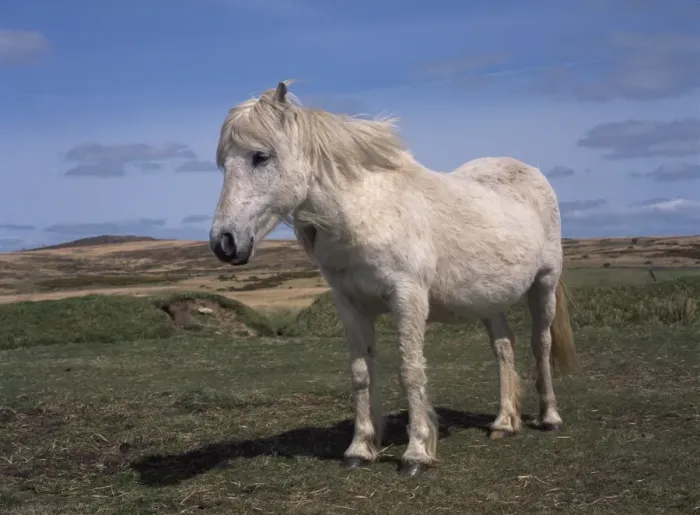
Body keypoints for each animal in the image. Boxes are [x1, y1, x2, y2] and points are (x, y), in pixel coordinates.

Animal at [209, 81, 577, 478]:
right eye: (224, 163)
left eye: (260, 156)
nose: (223, 243)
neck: (366, 213)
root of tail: (529, 172)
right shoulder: (350, 305)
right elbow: (361, 373)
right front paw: (360, 448)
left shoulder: (408, 298)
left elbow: (410, 371)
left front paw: (416, 453)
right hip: (489, 299)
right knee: (504, 346)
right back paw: (505, 423)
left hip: (543, 284)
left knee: (541, 344)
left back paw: (549, 417)